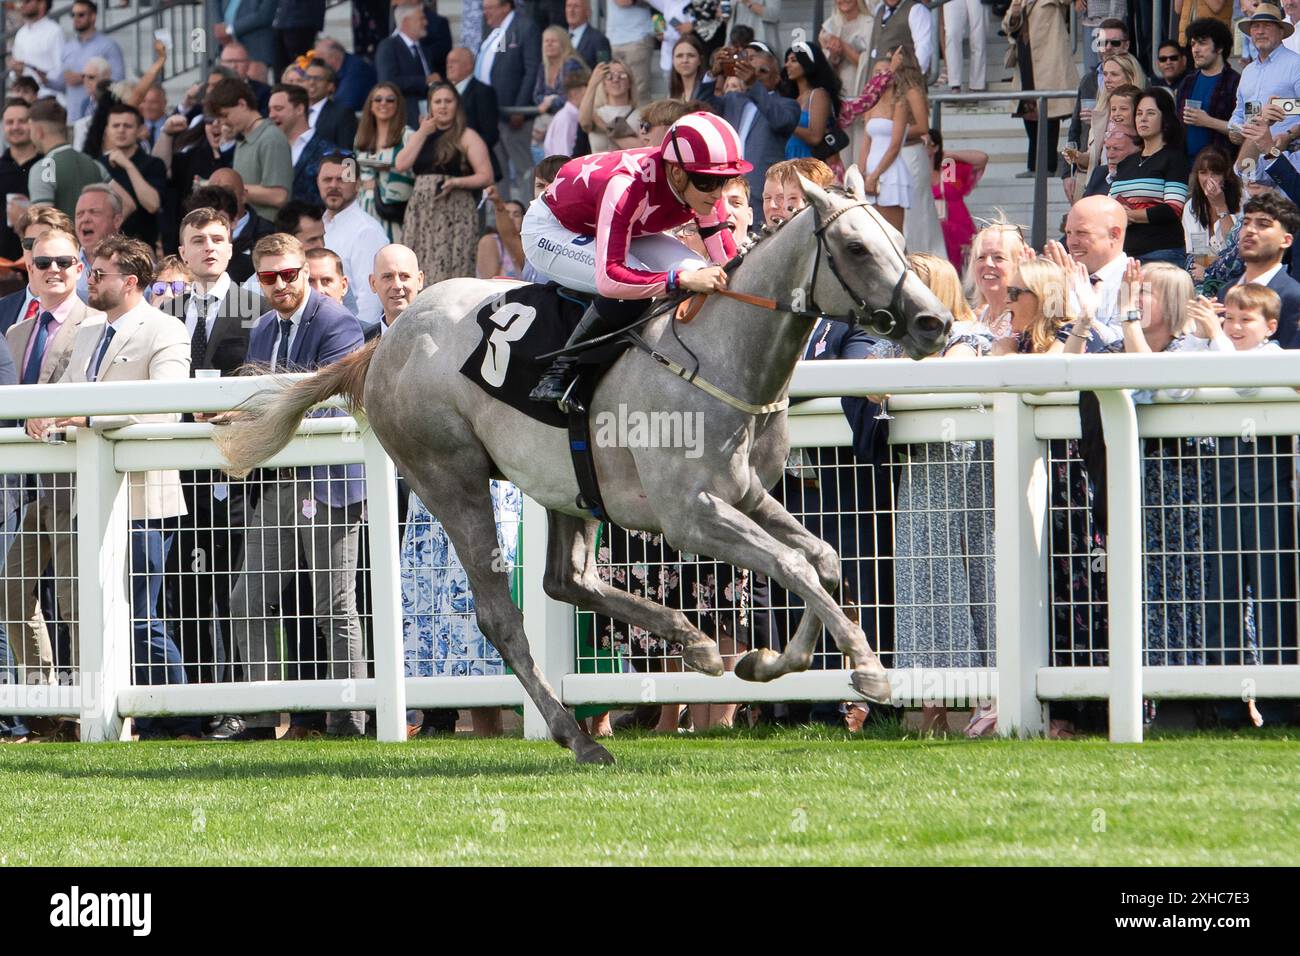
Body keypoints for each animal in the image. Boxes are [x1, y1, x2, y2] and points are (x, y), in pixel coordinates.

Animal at [210, 171, 946, 764]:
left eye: (894, 236)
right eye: (857, 247)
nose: (933, 322)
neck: (720, 353)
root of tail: (385, 341)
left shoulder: (745, 494)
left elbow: (822, 558)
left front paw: (769, 660)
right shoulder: (691, 515)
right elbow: (795, 564)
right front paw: (867, 670)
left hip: (567, 487)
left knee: (566, 581)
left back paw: (691, 642)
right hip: (450, 477)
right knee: (502, 615)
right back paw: (578, 734)